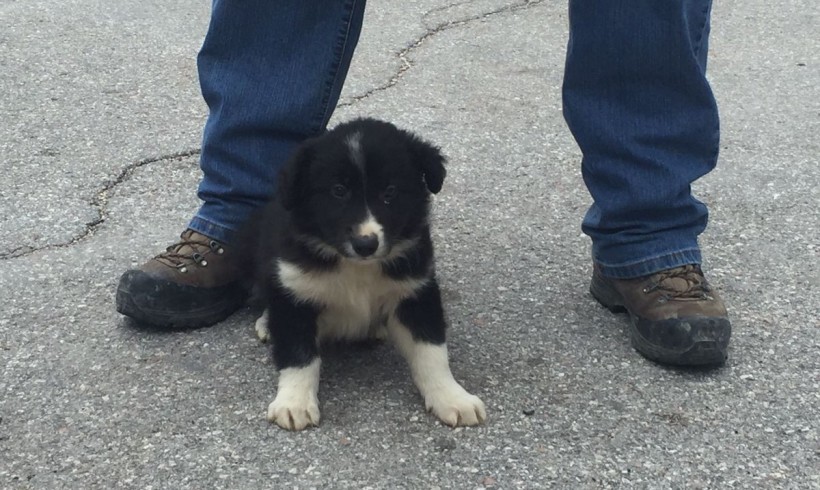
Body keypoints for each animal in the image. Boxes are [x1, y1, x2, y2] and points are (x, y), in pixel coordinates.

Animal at [250, 117, 486, 428]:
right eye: (338, 190)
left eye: (390, 192)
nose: (365, 244)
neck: (357, 268)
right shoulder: (295, 293)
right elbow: (298, 355)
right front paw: (294, 403)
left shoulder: (415, 293)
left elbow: (431, 352)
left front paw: (452, 397)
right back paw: (266, 323)